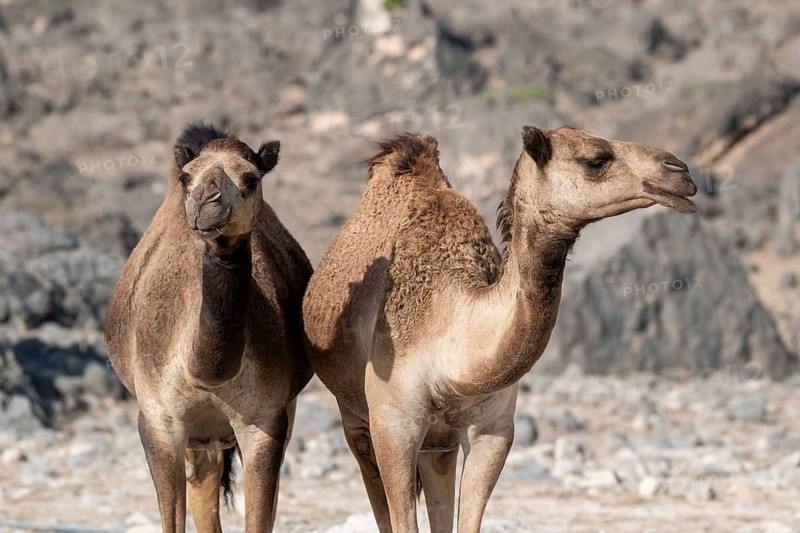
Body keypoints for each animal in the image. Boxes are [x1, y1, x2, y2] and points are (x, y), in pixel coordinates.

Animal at [105, 123, 312, 533]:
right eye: (187, 178)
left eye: (251, 178)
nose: (205, 203)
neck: (205, 369)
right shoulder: (158, 422)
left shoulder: (265, 421)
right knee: (203, 482)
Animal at [302, 126, 697, 532]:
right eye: (595, 159)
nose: (680, 171)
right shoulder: (393, 425)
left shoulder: (494, 429)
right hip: (355, 417)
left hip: (438, 441)